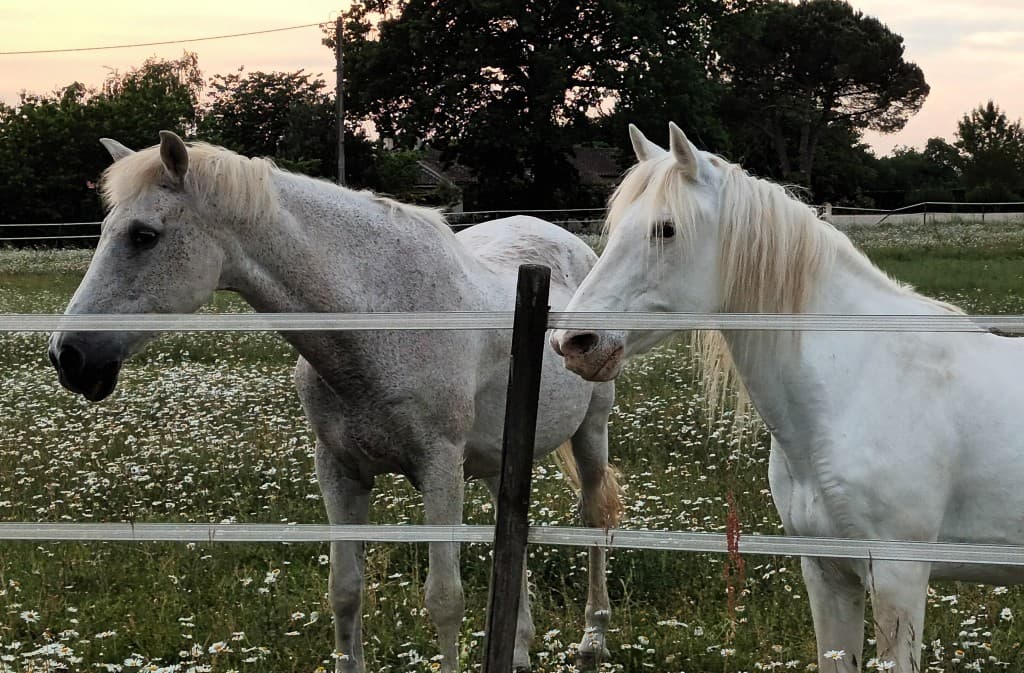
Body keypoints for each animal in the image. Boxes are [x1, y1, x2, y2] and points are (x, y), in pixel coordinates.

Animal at [48, 131, 623, 673]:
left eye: (143, 236)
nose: (67, 356)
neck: (382, 317)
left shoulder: (439, 468)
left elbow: (445, 599)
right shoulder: (340, 470)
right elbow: (345, 592)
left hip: (590, 430)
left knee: (594, 515)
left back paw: (592, 640)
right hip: (495, 459)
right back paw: (520, 649)